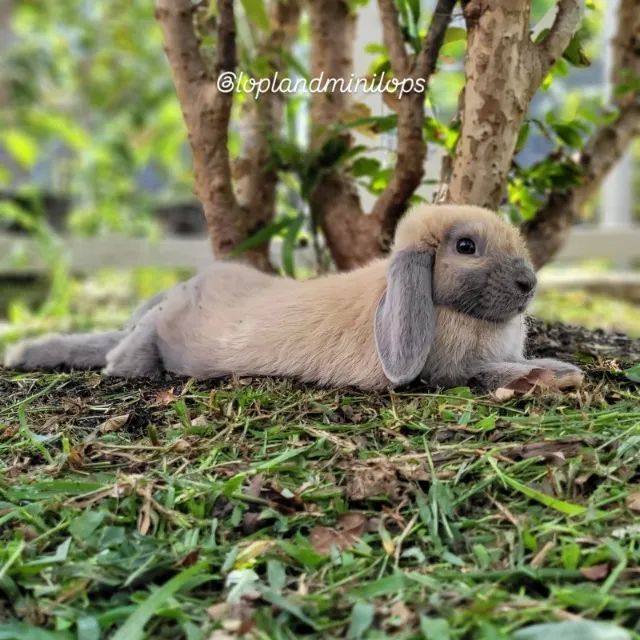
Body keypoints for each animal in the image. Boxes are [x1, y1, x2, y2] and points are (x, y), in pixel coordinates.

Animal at [4, 204, 583, 392]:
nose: (529, 284)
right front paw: (559, 372)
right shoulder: (449, 371)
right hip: (162, 330)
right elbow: (490, 372)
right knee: (126, 353)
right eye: (465, 247)